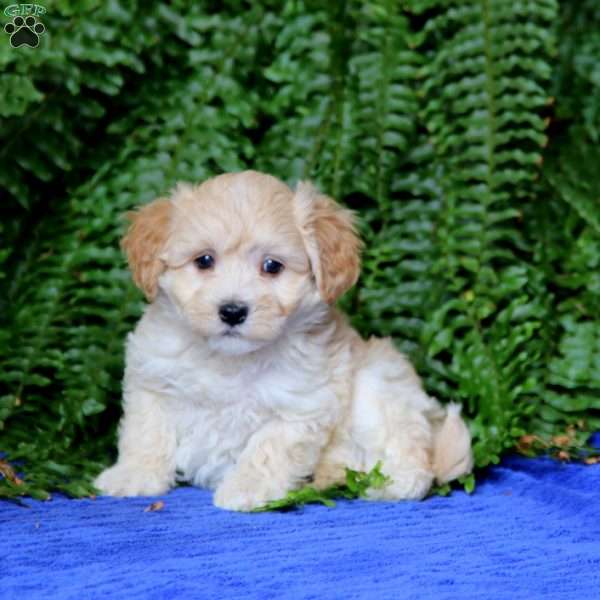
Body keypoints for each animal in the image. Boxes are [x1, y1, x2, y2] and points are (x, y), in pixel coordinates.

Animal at [95, 170, 474, 510]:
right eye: (204, 260)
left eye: (272, 266)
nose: (232, 311)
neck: (230, 360)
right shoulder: (152, 380)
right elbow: (146, 433)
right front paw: (132, 475)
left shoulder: (301, 405)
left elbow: (268, 448)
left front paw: (246, 489)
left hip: (380, 382)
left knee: (411, 456)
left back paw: (385, 483)